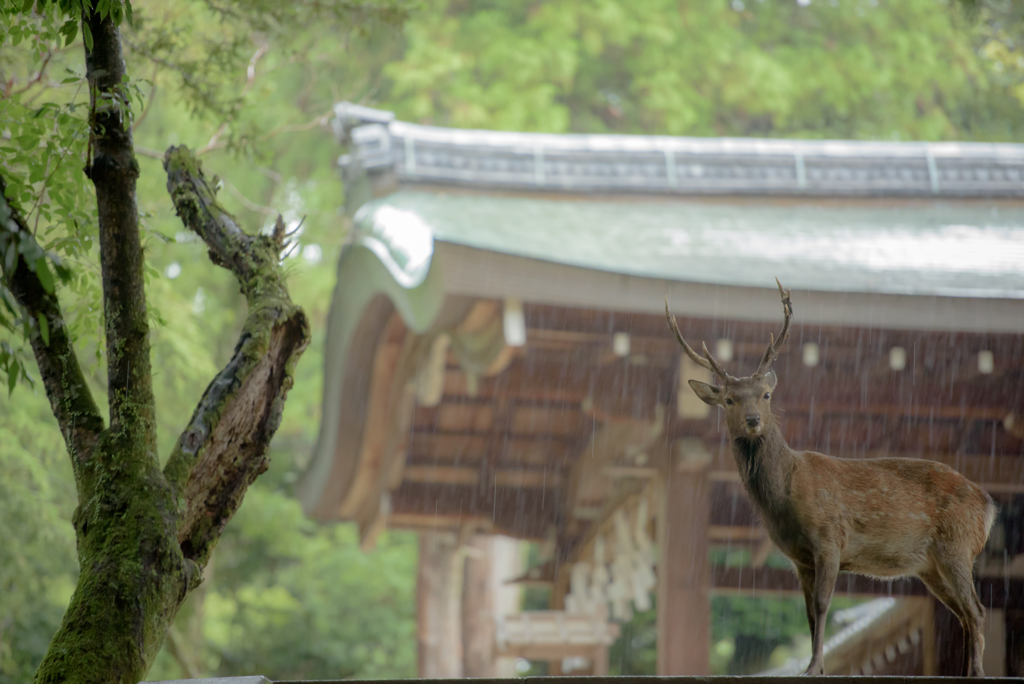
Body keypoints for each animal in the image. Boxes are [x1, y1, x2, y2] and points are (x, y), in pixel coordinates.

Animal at [663, 280, 991, 675]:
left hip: (958, 544)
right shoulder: (799, 558)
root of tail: (988, 504)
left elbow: (822, 606)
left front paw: (814, 667)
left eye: (766, 395)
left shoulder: (830, 538)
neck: (786, 498)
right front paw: (812, 665)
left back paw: (977, 671)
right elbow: (806, 612)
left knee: (976, 609)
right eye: (729, 400)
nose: (753, 420)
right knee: (963, 612)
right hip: (929, 565)